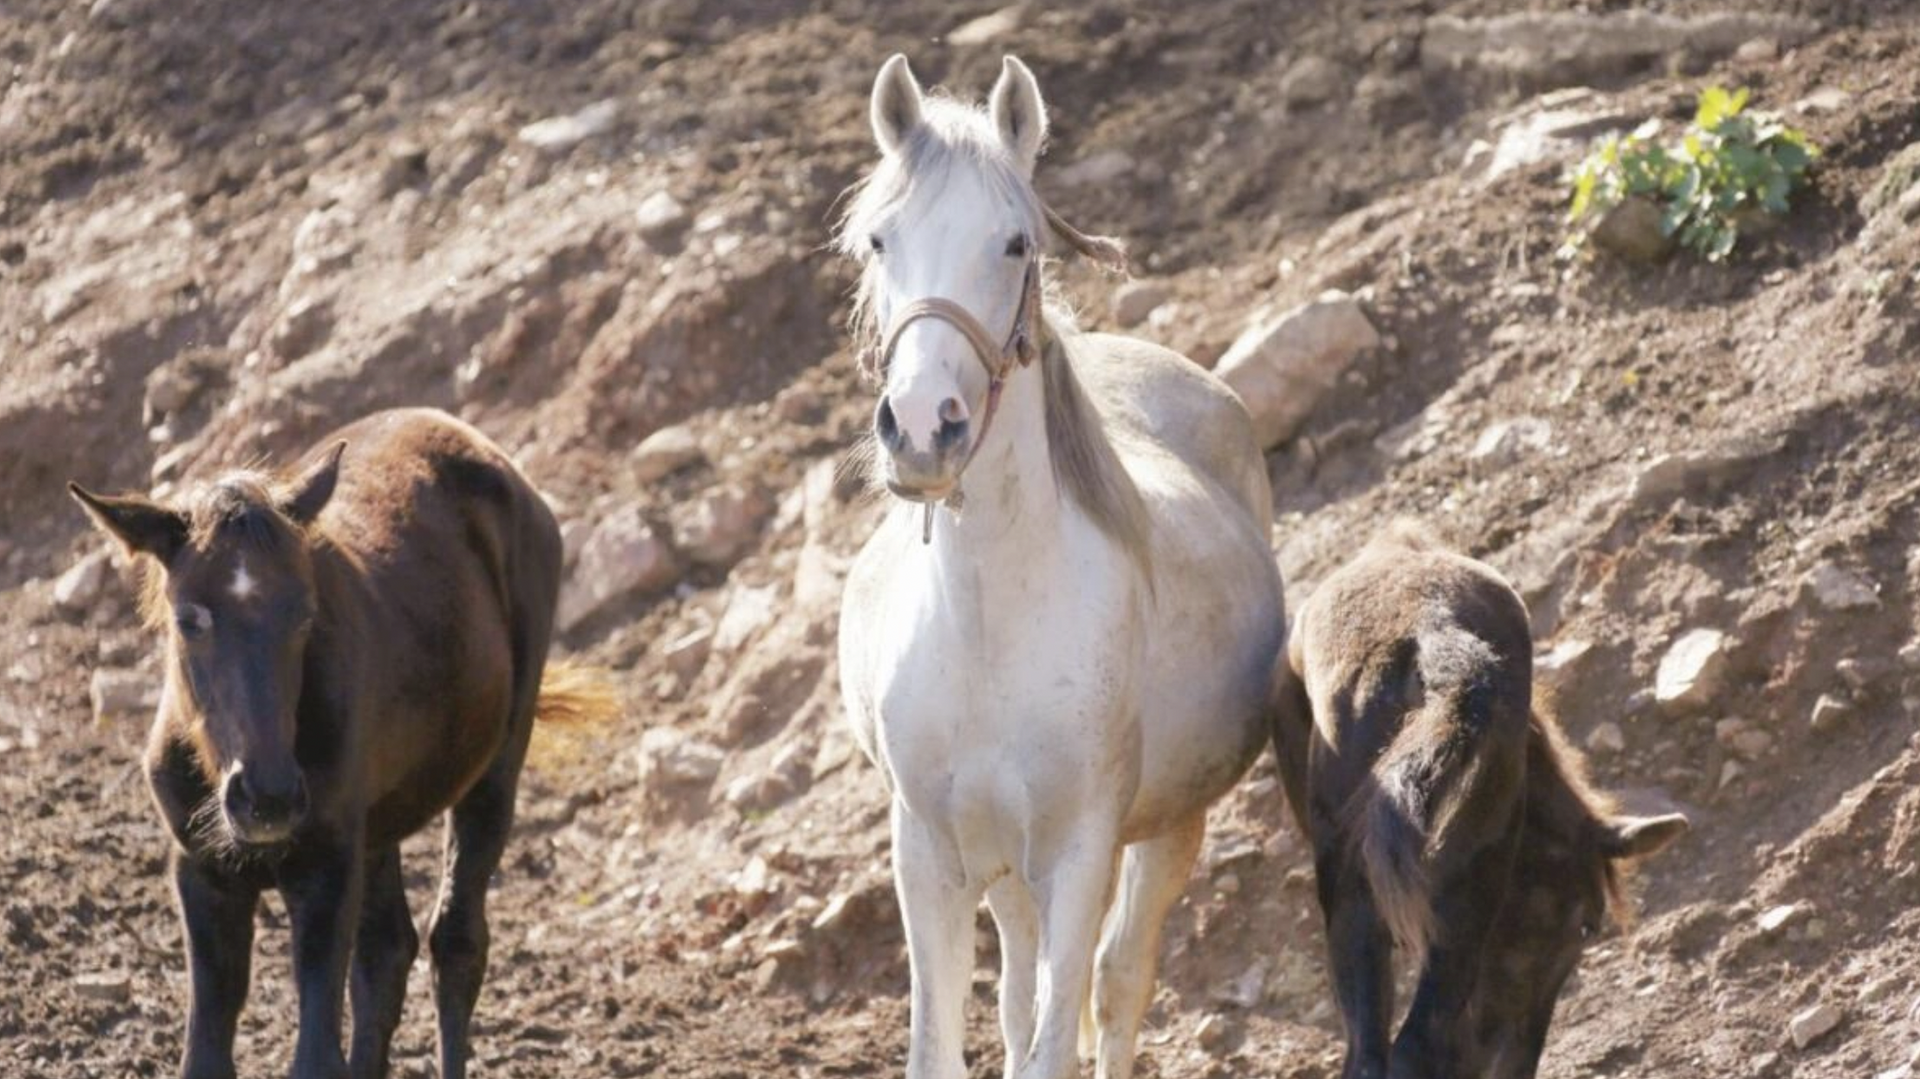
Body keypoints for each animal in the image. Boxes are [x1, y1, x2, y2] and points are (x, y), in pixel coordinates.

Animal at [69, 405, 606, 1075]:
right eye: (189, 618)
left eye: (304, 613)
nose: (268, 798)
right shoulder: (204, 874)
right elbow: (208, 1054)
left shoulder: (325, 871)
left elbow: (316, 1053)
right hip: (377, 828)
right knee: (388, 954)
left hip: (493, 769)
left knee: (456, 943)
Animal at [840, 54, 1290, 1075]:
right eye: (880, 240)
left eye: (1015, 242)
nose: (921, 428)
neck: (989, 624)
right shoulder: (928, 853)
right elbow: (951, 1041)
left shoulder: (1082, 854)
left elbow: (1063, 1029)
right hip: (1004, 865)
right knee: (1021, 992)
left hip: (1163, 831)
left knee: (1118, 984)